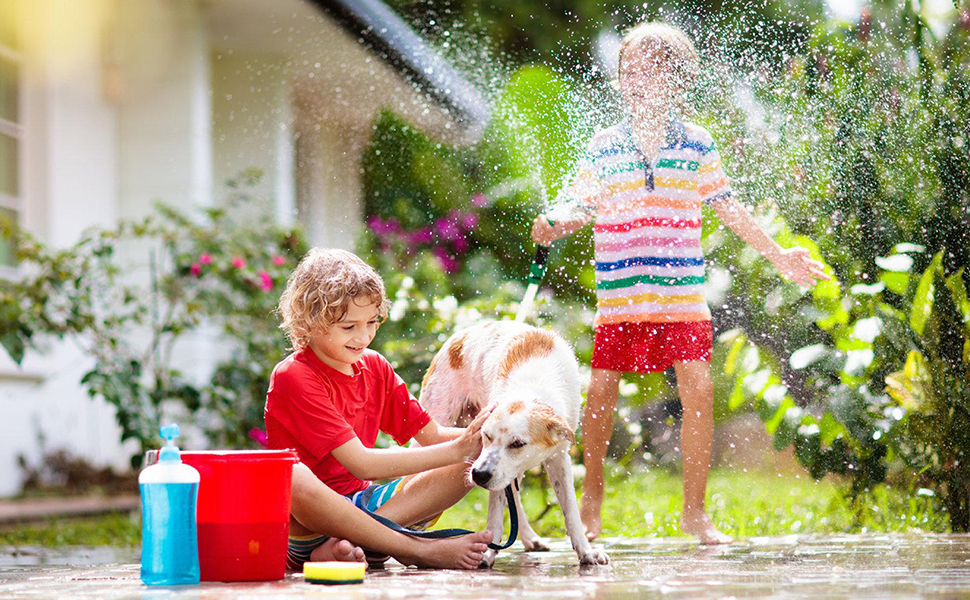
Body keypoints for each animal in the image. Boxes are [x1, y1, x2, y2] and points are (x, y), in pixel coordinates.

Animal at [420, 322, 608, 564]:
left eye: (517, 443)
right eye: (486, 436)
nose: (479, 475)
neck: (532, 387)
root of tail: (460, 334)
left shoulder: (559, 457)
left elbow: (570, 510)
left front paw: (586, 551)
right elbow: (495, 513)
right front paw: (488, 551)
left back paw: (530, 538)